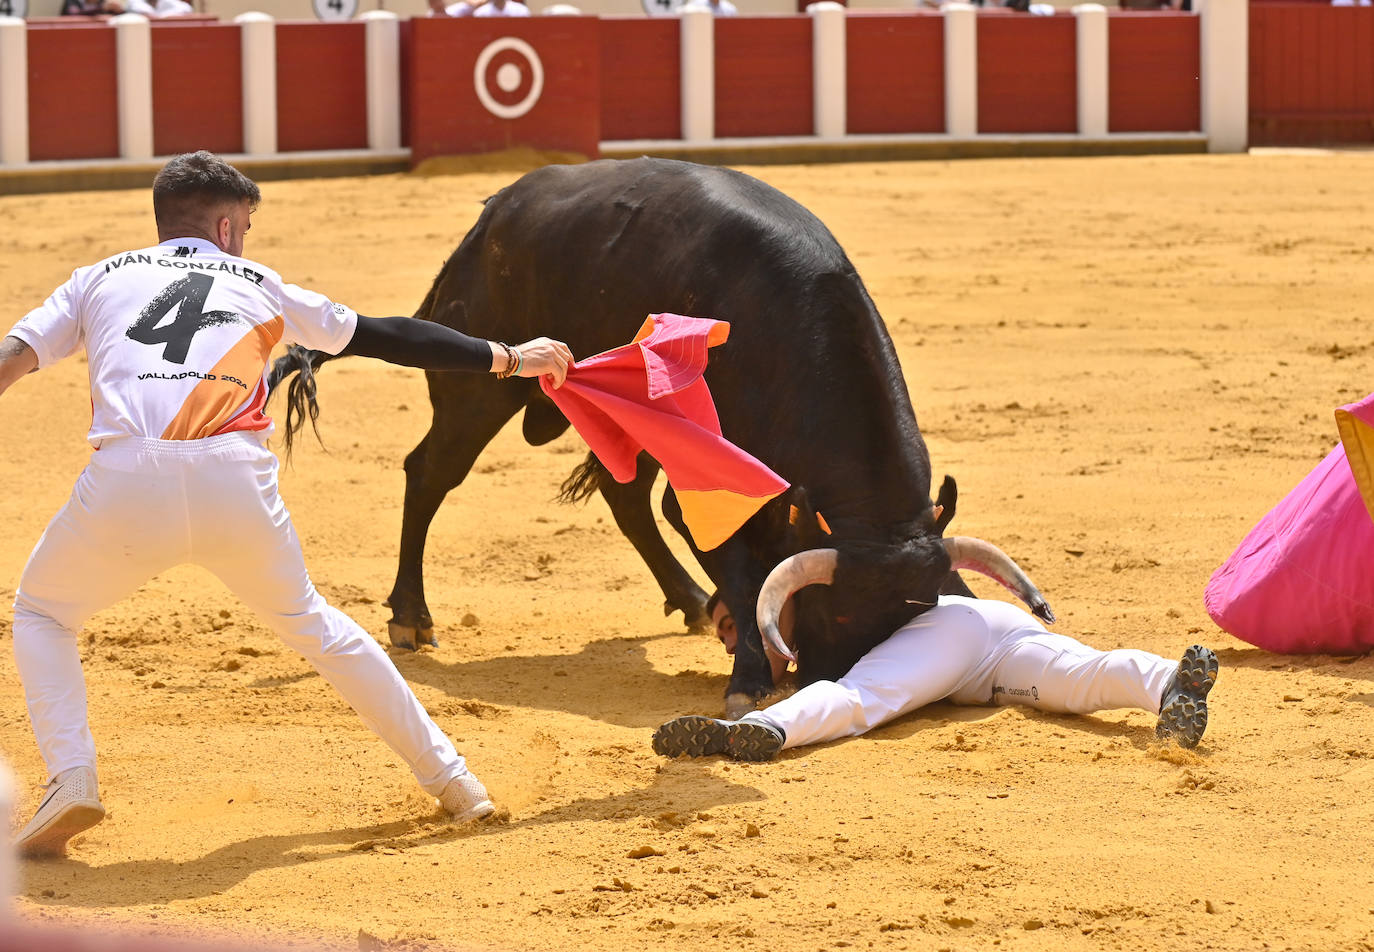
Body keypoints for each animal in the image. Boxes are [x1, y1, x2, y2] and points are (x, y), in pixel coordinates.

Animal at [270, 159, 1049, 714]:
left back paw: (691, 602)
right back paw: (411, 618)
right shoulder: (708, 475)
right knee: (430, 472)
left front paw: (732, 630)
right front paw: (748, 673)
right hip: (477, 388)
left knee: (623, 498)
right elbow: (728, 553)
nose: (828, 680)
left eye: (913, 618)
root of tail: (490, 217)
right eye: (843, 607)